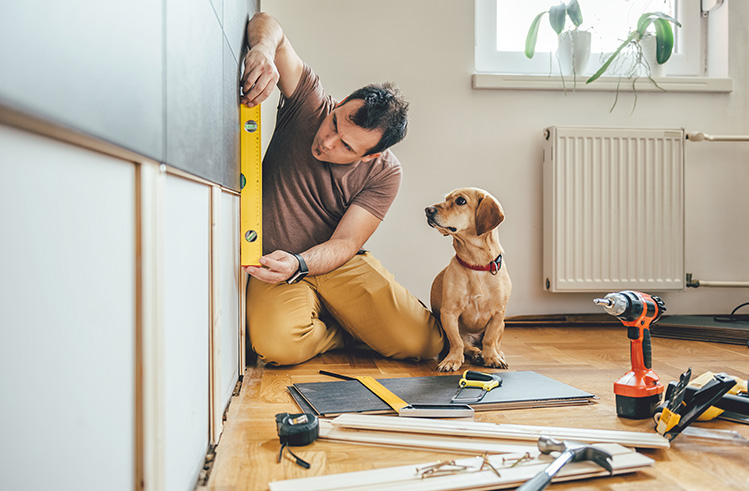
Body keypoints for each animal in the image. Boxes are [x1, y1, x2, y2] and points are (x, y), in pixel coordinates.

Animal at [424, 188, 512, 372]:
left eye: (461, 201)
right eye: (446, 199)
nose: (427, 210)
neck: (476, 264)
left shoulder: (498, 314)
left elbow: (489, 339)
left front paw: (492, 357)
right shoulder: (449, 313)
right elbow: (457, 342)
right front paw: (452, 360)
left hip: (502, 325)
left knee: (493, 342)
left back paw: (495, 354)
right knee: (467, 345)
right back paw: (476, 353)